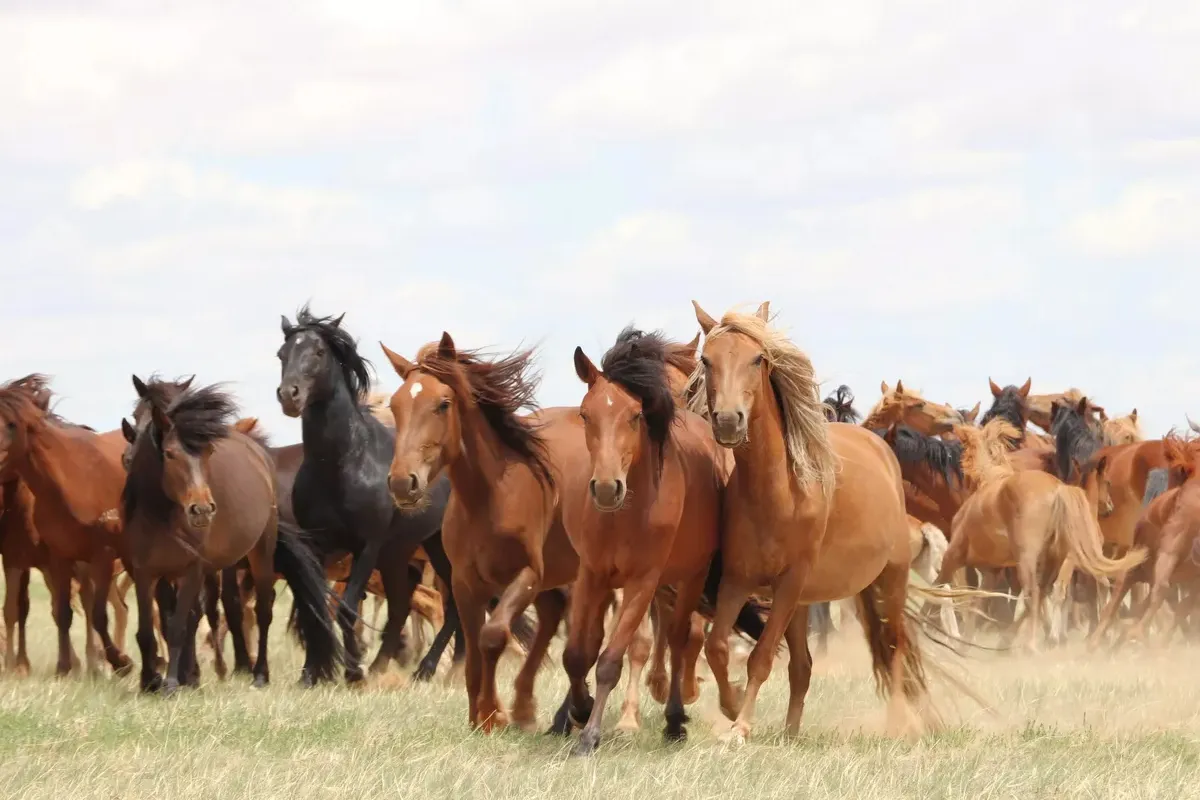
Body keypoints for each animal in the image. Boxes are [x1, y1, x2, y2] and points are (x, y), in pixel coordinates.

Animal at [0, 374, 131, 676]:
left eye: (11, 425)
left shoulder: (100, 556)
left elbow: (96, 614)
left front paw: (118, 662)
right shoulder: (51, 558)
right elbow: (57, 611)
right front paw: (62, 667)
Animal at [278, 304, 460, 681]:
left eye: (319, 352)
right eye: (282, 354)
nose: (290, 396)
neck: (343, 464)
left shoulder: (367, 546)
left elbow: (347, 608)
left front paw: (352, 670)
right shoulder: (316, 545)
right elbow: (314, 606)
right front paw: (312, 673)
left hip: (438, 547)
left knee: (452, 606)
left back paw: (430, 669)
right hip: (399, 552)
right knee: (403, 605)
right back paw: (385, 666)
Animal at [379, 333, 576, 734]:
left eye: (443, 404)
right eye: (395, 405)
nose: (403, 483)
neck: (491, 496)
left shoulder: (527, 574)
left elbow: (492, 636)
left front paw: (492, 713)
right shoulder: (465, 581)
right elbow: (471, 646)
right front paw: (481, 714)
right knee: (552, 617)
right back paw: (526, 708)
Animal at [549, 328, 720, 753]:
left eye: (635, 415)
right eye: (585, 414)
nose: (607, 488)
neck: (626, 513)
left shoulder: (643, 580)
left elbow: (611, 659)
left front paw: (589, 736)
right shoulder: (592, 574)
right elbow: (577, 654)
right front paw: (579, 710)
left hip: (689, 578)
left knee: (678, 640)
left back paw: (674, 720)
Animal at [686, 303, 936, 743]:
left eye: (758, 358)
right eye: (706, 359)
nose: (729, 421)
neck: (778, 492)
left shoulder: (790, 581)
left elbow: (760, 657)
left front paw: (741, 726)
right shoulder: (738, 579)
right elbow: (717, 647)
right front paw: (732, 705)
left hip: (891, 580)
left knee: (894, 650)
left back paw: (897, 725)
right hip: (804, 602)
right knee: (802, 667)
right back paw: (790, 732)